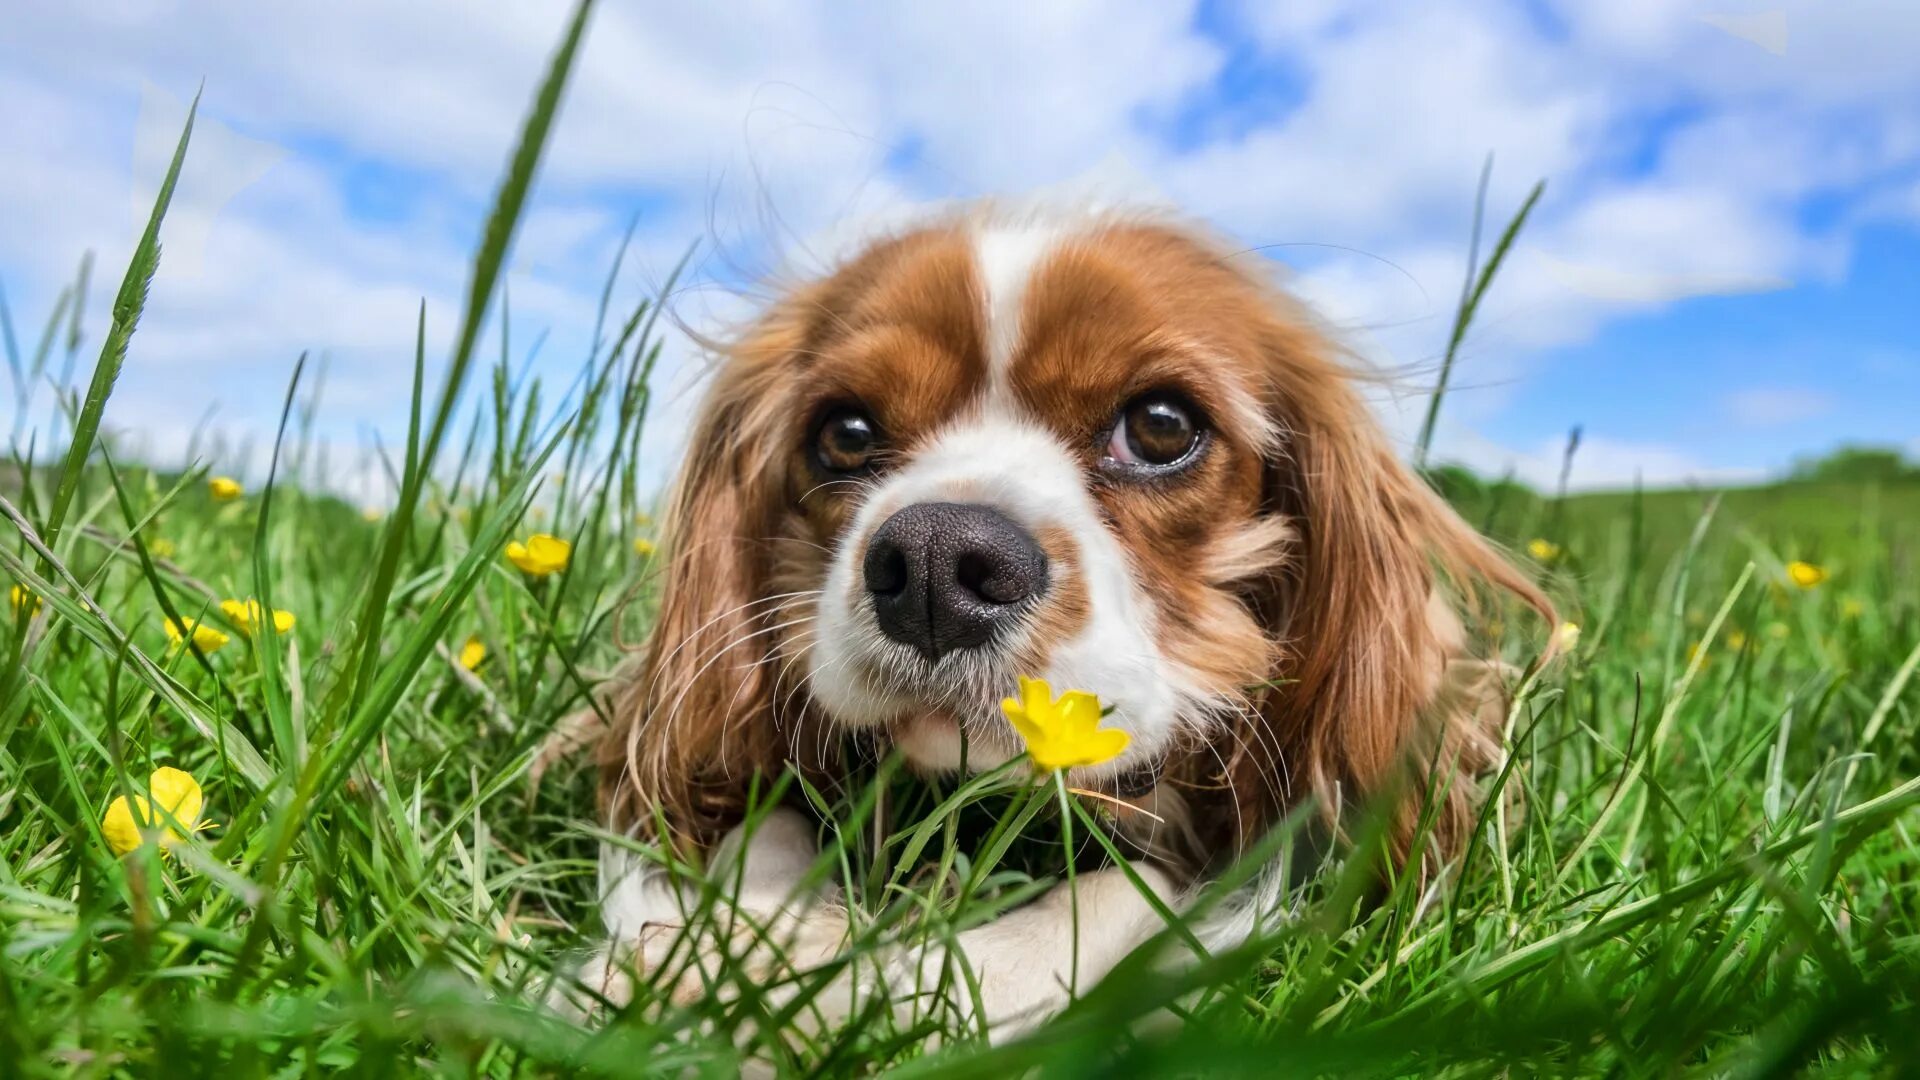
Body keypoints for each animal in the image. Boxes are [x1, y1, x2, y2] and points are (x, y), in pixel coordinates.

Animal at [560, 203, 1551, 1045]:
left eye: (1161, 425)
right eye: (844, 433)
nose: (934, 562)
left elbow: (1123, 894)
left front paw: (874, 989)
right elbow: (754, 829)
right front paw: (730, 948)